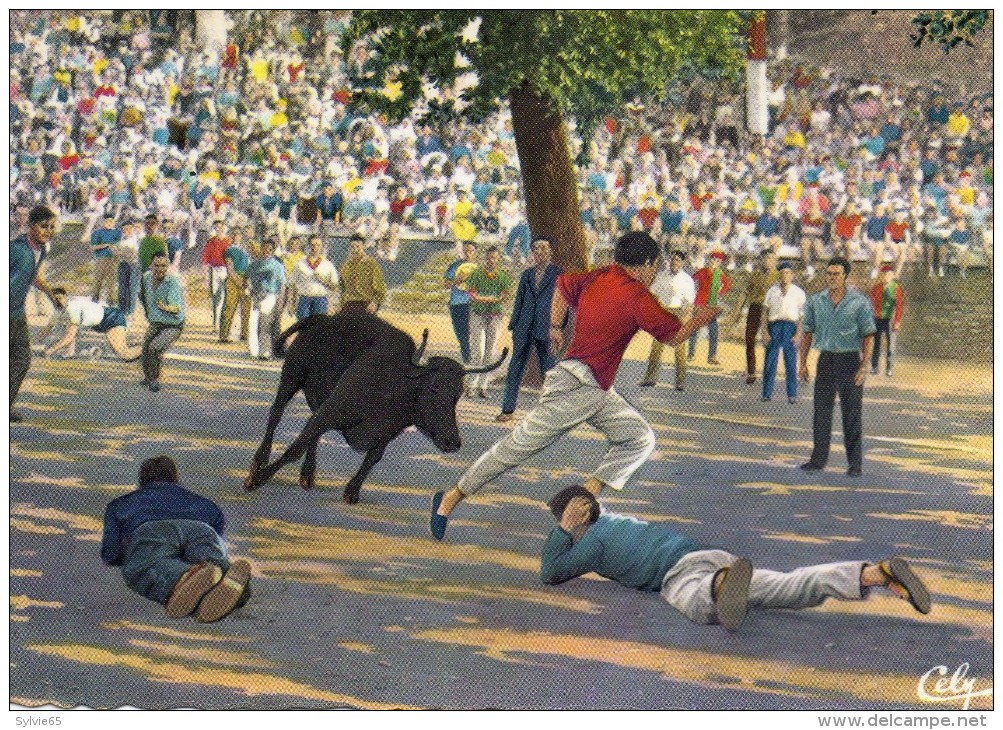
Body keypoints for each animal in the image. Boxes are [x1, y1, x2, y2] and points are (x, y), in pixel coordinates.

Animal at [243, 310, 509, 505]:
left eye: (457, 395)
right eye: (434, 389)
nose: (452, 441)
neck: (398, 382)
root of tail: (321, 319)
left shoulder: (384, 434)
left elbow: (373, 457)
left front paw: (352, 491)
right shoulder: (331, 411)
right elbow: (295, 448)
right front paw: (256, 479)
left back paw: (307, 475)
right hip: (291, 379)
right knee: (275, 416)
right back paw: (259, 460)